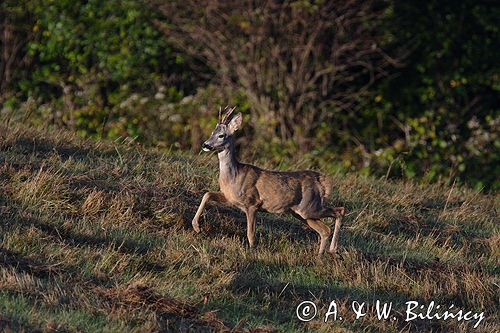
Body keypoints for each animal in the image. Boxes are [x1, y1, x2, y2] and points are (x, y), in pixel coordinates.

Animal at [191, 106, 344, 254]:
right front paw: (196, 227)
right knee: (324, 230)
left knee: (339, 211)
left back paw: (332, 250)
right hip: (301, 213)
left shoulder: (252, 203)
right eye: (212, 132)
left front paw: (252, 251)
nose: (205, 145)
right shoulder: (230, 198)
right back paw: (320, 256)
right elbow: (207, 194)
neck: (234, 176)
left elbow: (250, 233)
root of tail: (321, 182)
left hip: (309, 207)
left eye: (221, 135)